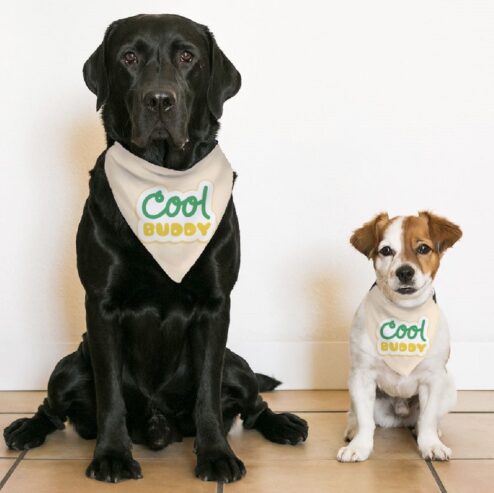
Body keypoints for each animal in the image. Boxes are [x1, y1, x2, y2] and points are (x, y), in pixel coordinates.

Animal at [2, 13, 304, 482]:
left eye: (187, 57)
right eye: (128, 57)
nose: (159, 100)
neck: (163, 179)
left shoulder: (216, 305)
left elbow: (207, 394)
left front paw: (216, 455)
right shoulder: (101, 305)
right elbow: (110, 394)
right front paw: (111, 455)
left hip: (237, 366)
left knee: (253, 402)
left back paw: (283, 424)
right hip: (69, 366)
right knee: (52, 406)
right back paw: (26, 429)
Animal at [338, 210, 462, 462]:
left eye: (423, 248)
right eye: (386, 250)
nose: (405, 271)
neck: (403, 315)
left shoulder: (433, 379)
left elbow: (427, 419)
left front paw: (430, 444)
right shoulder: (361, 376)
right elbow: (365, 421)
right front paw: (359, 446)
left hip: (448, 386)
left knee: (426, 419)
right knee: (356, 414)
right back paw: (352, 429)